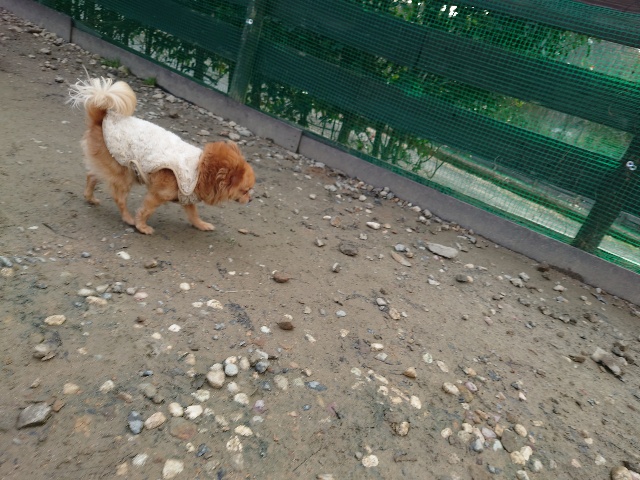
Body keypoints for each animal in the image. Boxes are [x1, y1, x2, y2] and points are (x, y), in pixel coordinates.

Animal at [68, 77, 255, 234]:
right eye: (245, 190)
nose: (251, 199)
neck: (200, 169)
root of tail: (101, 119)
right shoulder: (158, 195)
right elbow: (145, 211)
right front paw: (142, 226)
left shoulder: (186, 198)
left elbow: (193, 214)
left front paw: (201, 225)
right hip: (125, 174)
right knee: (119, 198)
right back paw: (128, 218)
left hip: (113, 168)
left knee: (92, 175)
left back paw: (90, 198)